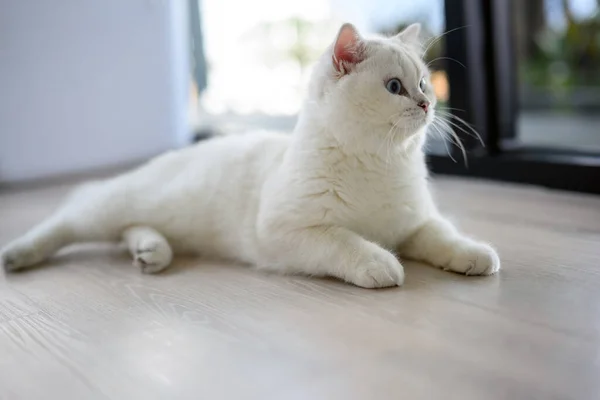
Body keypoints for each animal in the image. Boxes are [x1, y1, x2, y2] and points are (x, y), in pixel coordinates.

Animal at [0, 22, 496, 288]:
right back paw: (17, 254)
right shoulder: (288, 232)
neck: (378, 164)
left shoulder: (416, 223)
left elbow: (444, 235)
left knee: (127, 231)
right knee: (68, 218)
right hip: (110, 206)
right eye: (395, 87)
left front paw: (474, 254)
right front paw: (378, 262)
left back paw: (150, 251)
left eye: (424, 83)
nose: (427, 104)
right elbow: (345, 241)